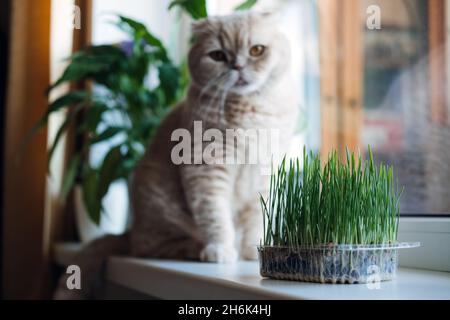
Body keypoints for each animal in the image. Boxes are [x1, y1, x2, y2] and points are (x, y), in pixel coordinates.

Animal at [54, 10, 298, 300]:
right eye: (218, 55)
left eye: (256, 50)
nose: (237, 66)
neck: (250, 112)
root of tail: (128, 231)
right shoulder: (205, 167)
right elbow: (215, 213)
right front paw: (220, 248)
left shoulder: (262, 173)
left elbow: (256, 217)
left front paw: (251, 250)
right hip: (160, 209)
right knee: (153, 247)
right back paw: (198, 249)